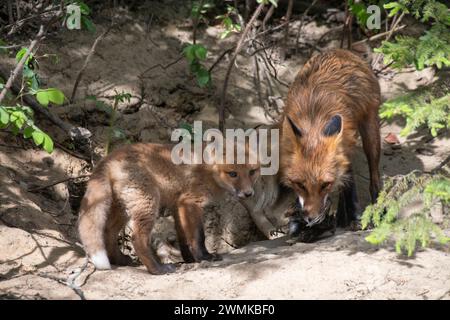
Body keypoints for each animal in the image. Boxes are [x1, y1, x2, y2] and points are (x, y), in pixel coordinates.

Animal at [78, 142, 258, 276]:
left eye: (252, 172)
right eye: (233, 174)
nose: (249, 193)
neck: (207, 170)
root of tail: (110, 157)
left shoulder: (178, 205)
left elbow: (184, 238)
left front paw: (190, 259)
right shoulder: (190, 202)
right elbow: (198, 237)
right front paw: (204, 257)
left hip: (122, 210)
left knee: (108, 233)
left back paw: (121, 261)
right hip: (148, 204)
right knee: (137, 239)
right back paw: (157, 269)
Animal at [282, 48, 380, 228]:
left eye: (324, 185)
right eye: (300, 185)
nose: (311, 219)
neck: (313, 120)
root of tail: (339, 50)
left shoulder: (345, 149)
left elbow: (349, 185)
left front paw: (355, 216)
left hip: (370, 133)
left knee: (374, 179)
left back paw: (377, 207)